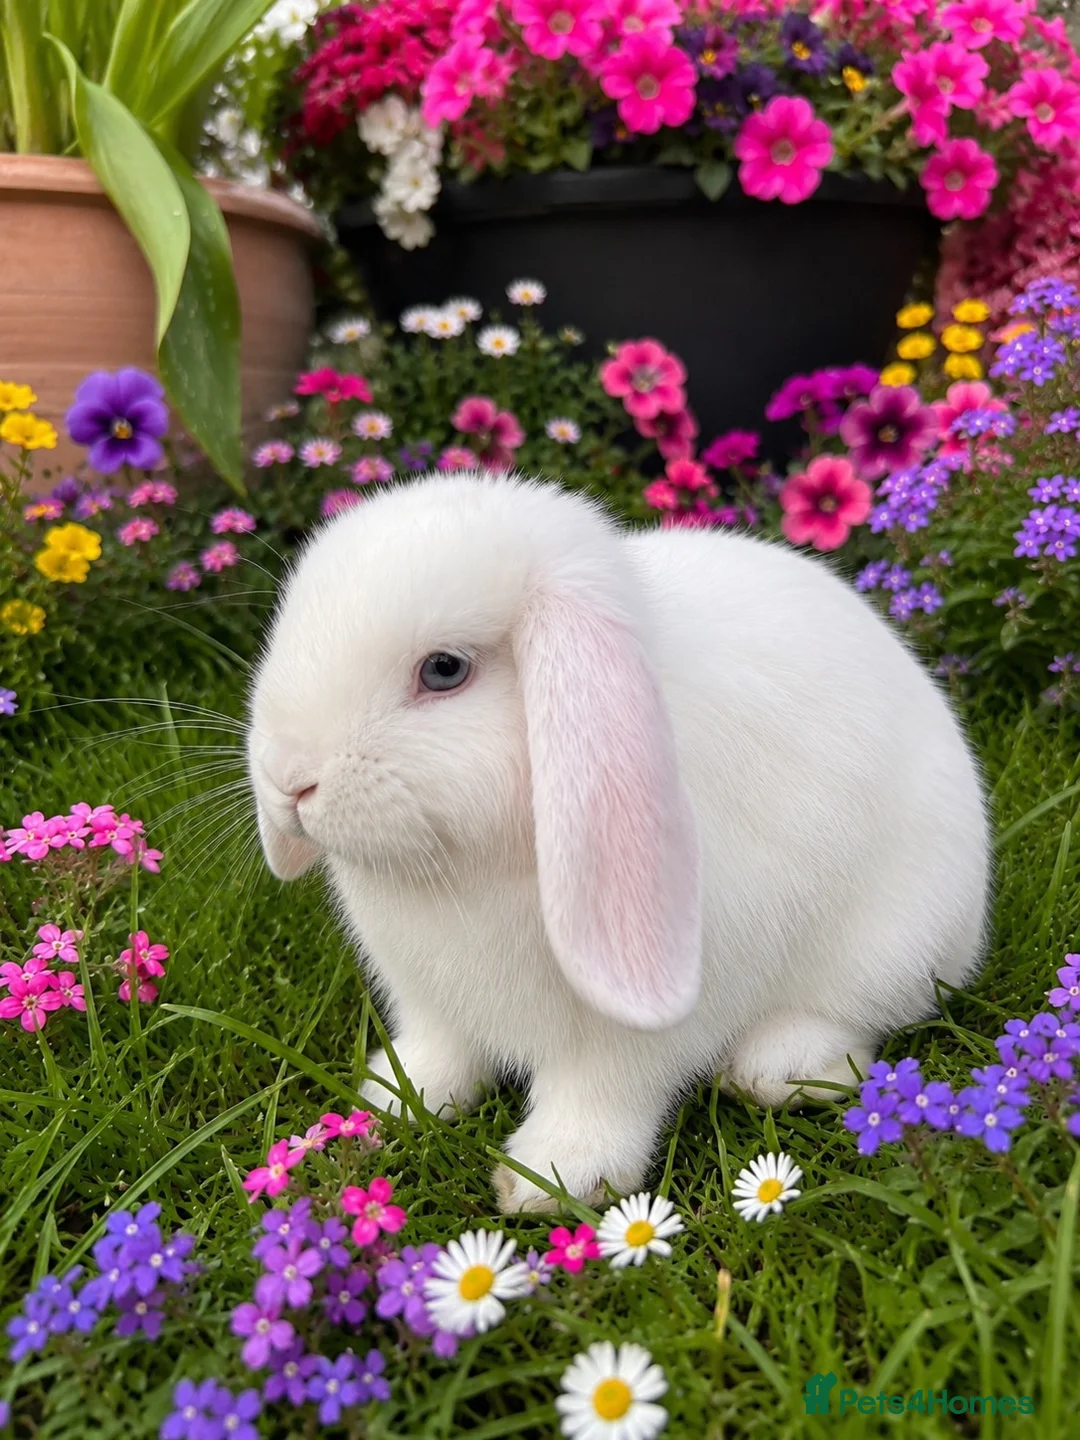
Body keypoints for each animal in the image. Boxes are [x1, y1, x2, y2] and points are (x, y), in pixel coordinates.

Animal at [247, 470, 990, 1213]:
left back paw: (779, 1067)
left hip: (893, 945)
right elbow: (439, 1053)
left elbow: (603, 1094)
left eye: (444, 670)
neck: (464, 871)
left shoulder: (635, 1030)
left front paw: (553, 1178)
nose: (289, 780)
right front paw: (396, 1102)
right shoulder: (429, 1003)